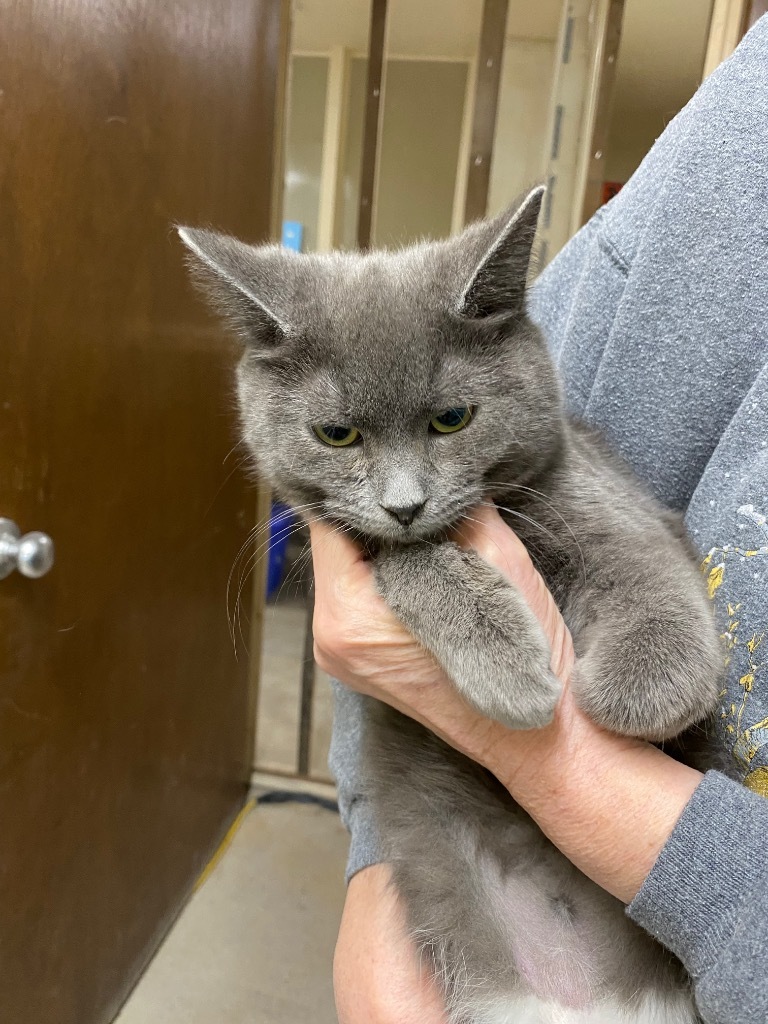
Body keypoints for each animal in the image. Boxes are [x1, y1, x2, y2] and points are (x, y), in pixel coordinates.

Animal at [179, 186, 720, 1024]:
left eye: (451, 419)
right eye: (337, 435)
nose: (405, 504)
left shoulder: (593, 490)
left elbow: (635, 557)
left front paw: (646, 689)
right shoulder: (368, 548)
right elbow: (418, 564)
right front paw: (514, 672)